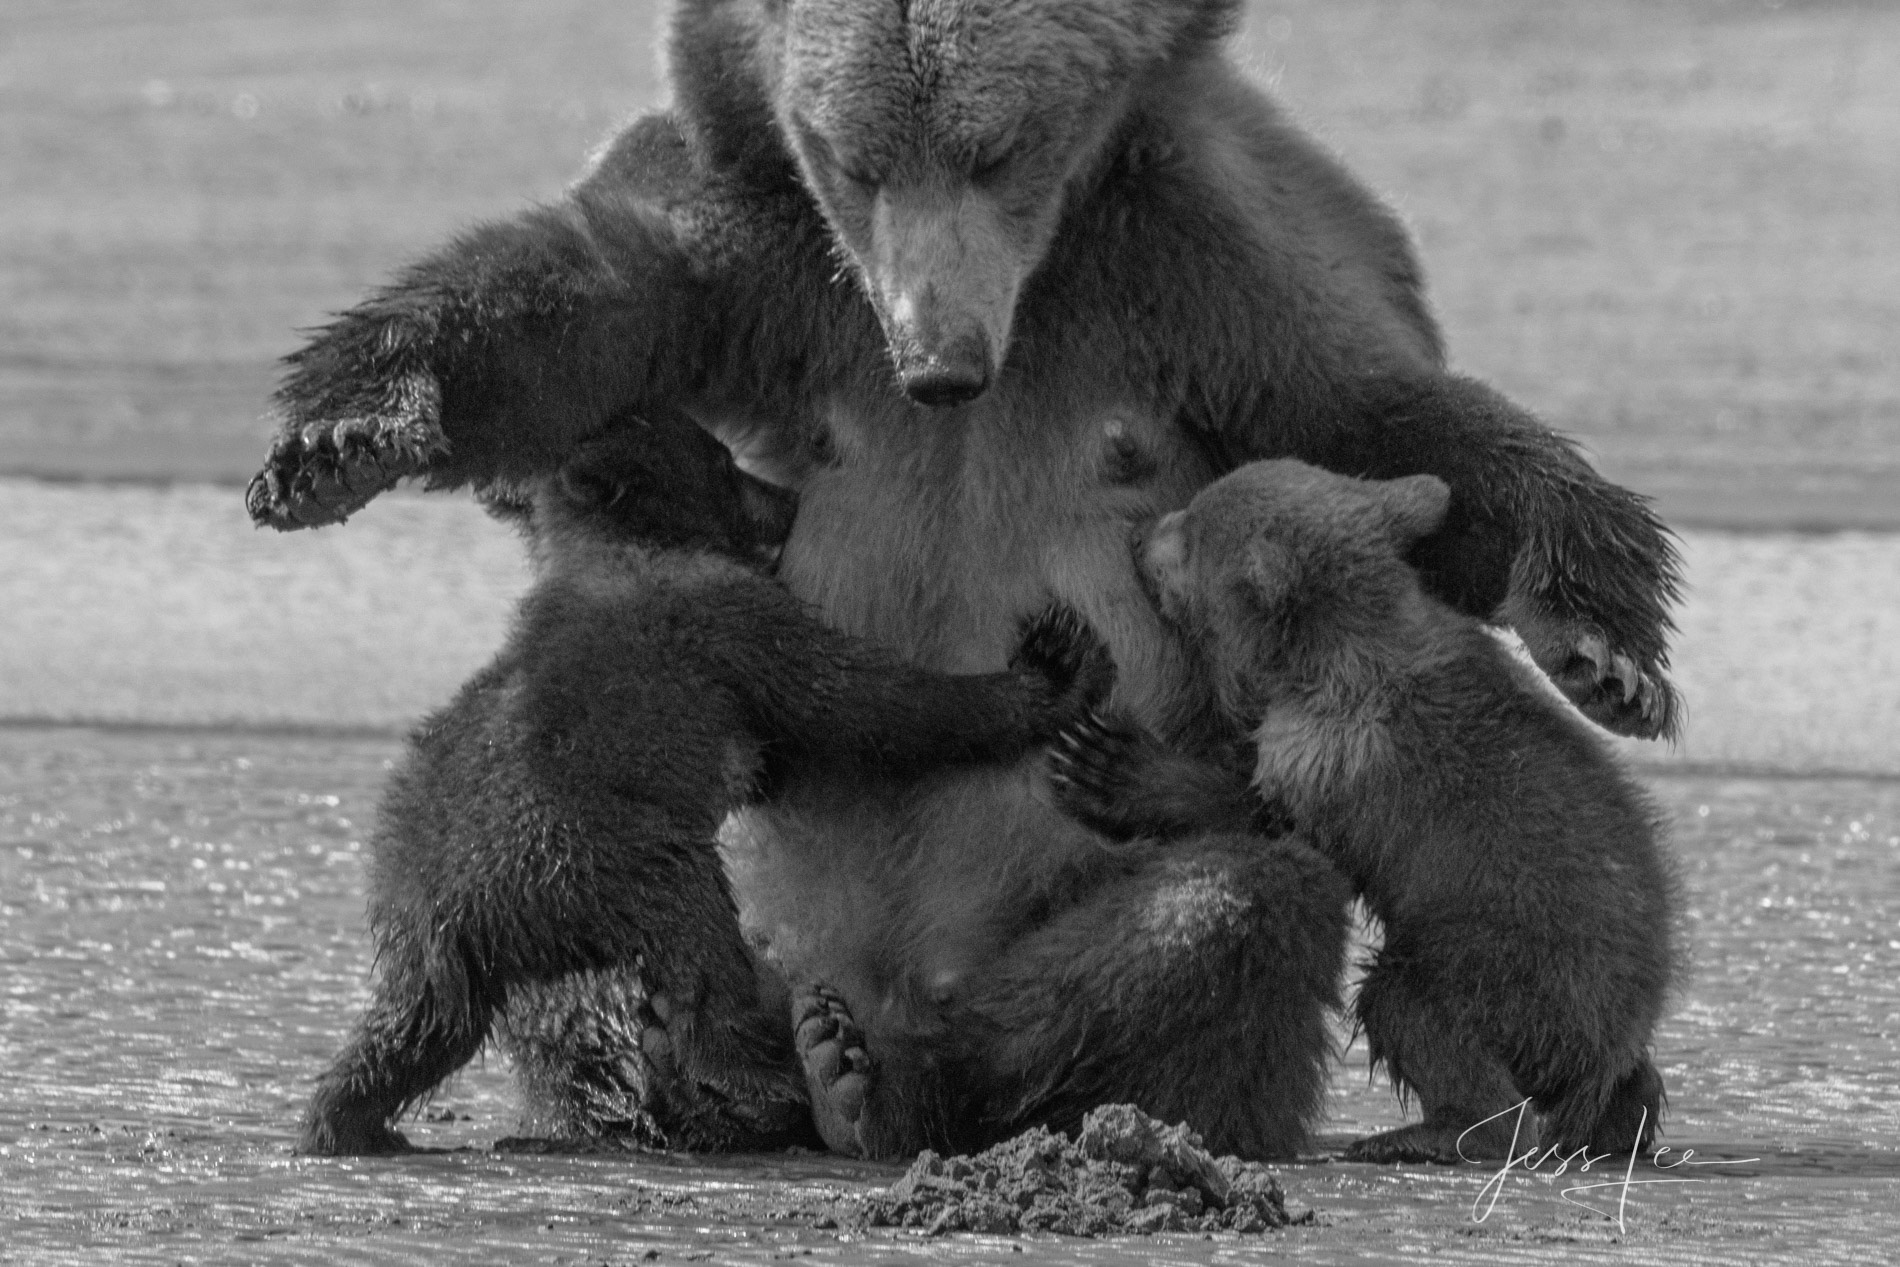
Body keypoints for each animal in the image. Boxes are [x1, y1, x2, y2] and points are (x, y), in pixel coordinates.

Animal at [300, 416, 1109, 1162]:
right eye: (721, 461)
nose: (785, 499)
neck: (624, 547)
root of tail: (466, 913)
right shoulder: (727, 618)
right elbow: (859, 699)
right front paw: (1048, 672)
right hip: (604, 857)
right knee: (700, 943)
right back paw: (764, 1075)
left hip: (419, 933)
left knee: (413, 1030)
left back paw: (349, 1121)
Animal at [1048, 461, 1687, 1162]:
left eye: (1189, 531)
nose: (1140, 533)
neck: (1328, 654)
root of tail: (1604, 1043)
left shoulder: (1336, 753)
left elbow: (1278, 821)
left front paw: (1111, 763)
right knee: (1628, 1076)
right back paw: (1622, 1122)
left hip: (1507, 963)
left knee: (1413, 1009)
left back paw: (1429, 1133)